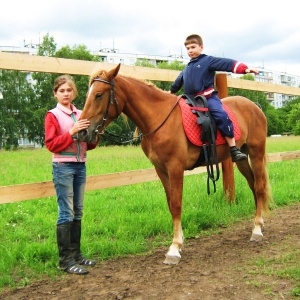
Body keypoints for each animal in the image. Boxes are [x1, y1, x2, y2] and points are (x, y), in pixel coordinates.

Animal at [78, 62, 274, 264]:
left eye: (99, 95)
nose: (83, 132)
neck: (159, 118)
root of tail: (255, 107)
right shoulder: (161, 170)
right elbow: (170, 204)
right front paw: (177, 242)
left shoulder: (175, 168)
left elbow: (177, 203)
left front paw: (174, 248)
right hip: (242, 159)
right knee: (253, 185)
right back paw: (259, 223)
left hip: (256, 153)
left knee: (259, 187)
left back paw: (257, 229)